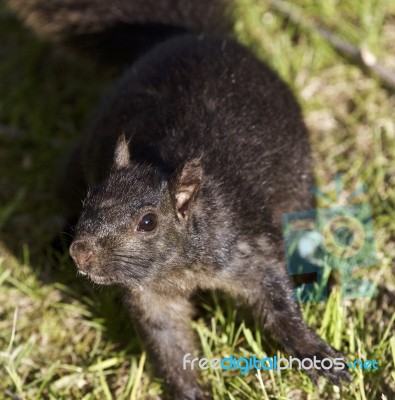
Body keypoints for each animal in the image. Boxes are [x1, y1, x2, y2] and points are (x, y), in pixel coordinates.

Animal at [9, 0, 352, 396]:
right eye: (89, 199)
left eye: (148, 222)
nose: (80, 252)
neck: (179, 268)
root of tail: (195, 36)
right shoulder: (150, 296)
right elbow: (169, 344)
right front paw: (189, 392)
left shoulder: (249, 247)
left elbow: (277, 301)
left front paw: (315, 353)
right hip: (75, 164)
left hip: (298, 188)